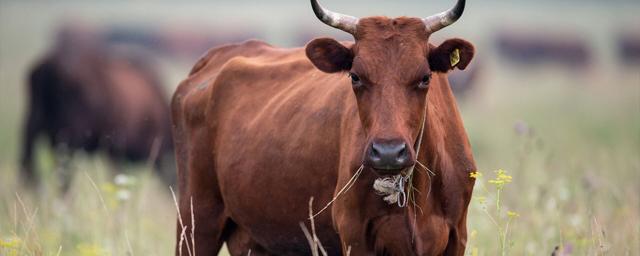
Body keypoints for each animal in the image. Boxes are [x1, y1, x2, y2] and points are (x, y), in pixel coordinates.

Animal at [172, 0, 478, 254]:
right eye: (355, 77)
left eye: (425, 77)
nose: (389, 152)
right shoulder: (354, 235)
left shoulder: (457, 236)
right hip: (195, 220)